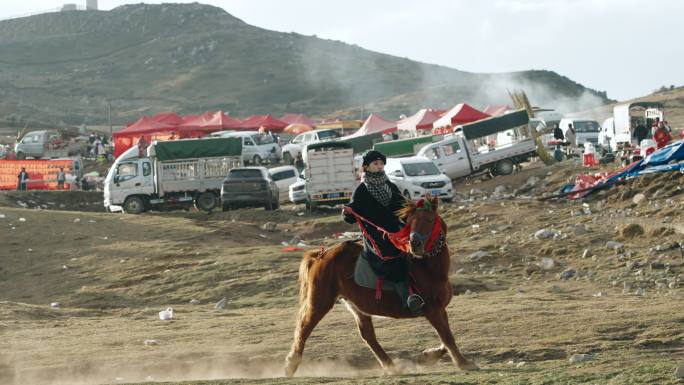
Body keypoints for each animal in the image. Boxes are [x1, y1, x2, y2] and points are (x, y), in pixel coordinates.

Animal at [286, 195, 478, 376]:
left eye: (430, 220)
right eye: (410, 222)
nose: (415, 244)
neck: (427, 267)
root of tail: (321, 255)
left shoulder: (440, 309)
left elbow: (446, 337)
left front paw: (427, 357)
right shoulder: (432, 310)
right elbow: (448, 337)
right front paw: (463, 363)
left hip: (356, 305)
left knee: (368, 335)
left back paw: (391, 366)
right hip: (320, 302)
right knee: (304, 327)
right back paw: (291, 365)